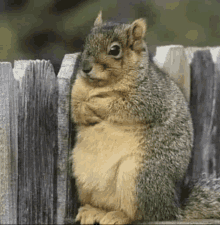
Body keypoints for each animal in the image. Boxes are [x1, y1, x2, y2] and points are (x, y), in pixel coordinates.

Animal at [70, 11, 220, 224]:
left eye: (114, 50)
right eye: (86, 42)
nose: (85, 68)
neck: (100, 85)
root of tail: (172, 207)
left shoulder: (147, 98)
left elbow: (118, 105)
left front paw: (95, 104)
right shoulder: (76, 92)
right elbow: (75, 110)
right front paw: (85, 109)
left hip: (138, 178)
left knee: (142, 214)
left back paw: (119, 216)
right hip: (84, 179)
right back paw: (93, 211)